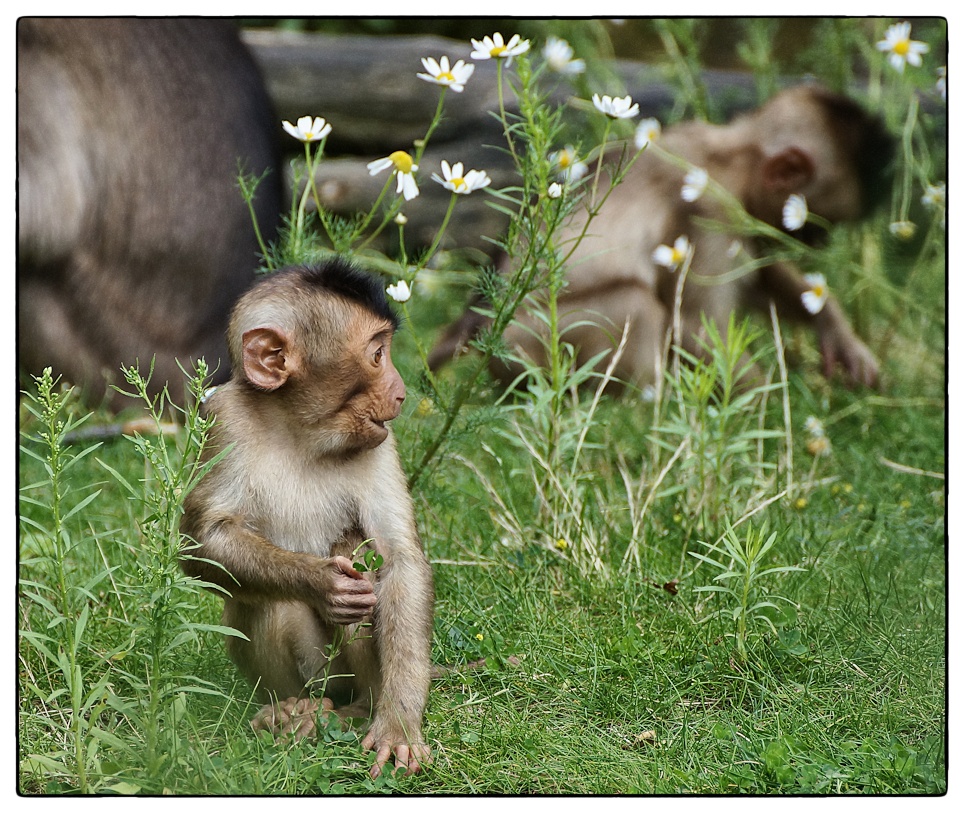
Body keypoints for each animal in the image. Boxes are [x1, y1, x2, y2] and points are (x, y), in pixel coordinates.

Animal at [180, 262, 434, 780]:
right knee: (267, 600)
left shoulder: (381, 442)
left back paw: (358, 709)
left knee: (365, 566)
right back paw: (292, 711)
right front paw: (322, 582)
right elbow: (202, 540)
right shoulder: (223, 418)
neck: (300, 430)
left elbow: (399, 560)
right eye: (378, 355)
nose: (401, 392)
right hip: (315, 676)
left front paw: (399, 724)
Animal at [430, 84, 896, 392]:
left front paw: (835, 331)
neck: (731, 155)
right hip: (522, 346)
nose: (817, 244)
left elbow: (758, 276)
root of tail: (477, 325)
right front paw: (763, 404)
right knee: (638, 304)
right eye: (813, 227)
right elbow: (695, 323)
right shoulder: (709, 208)